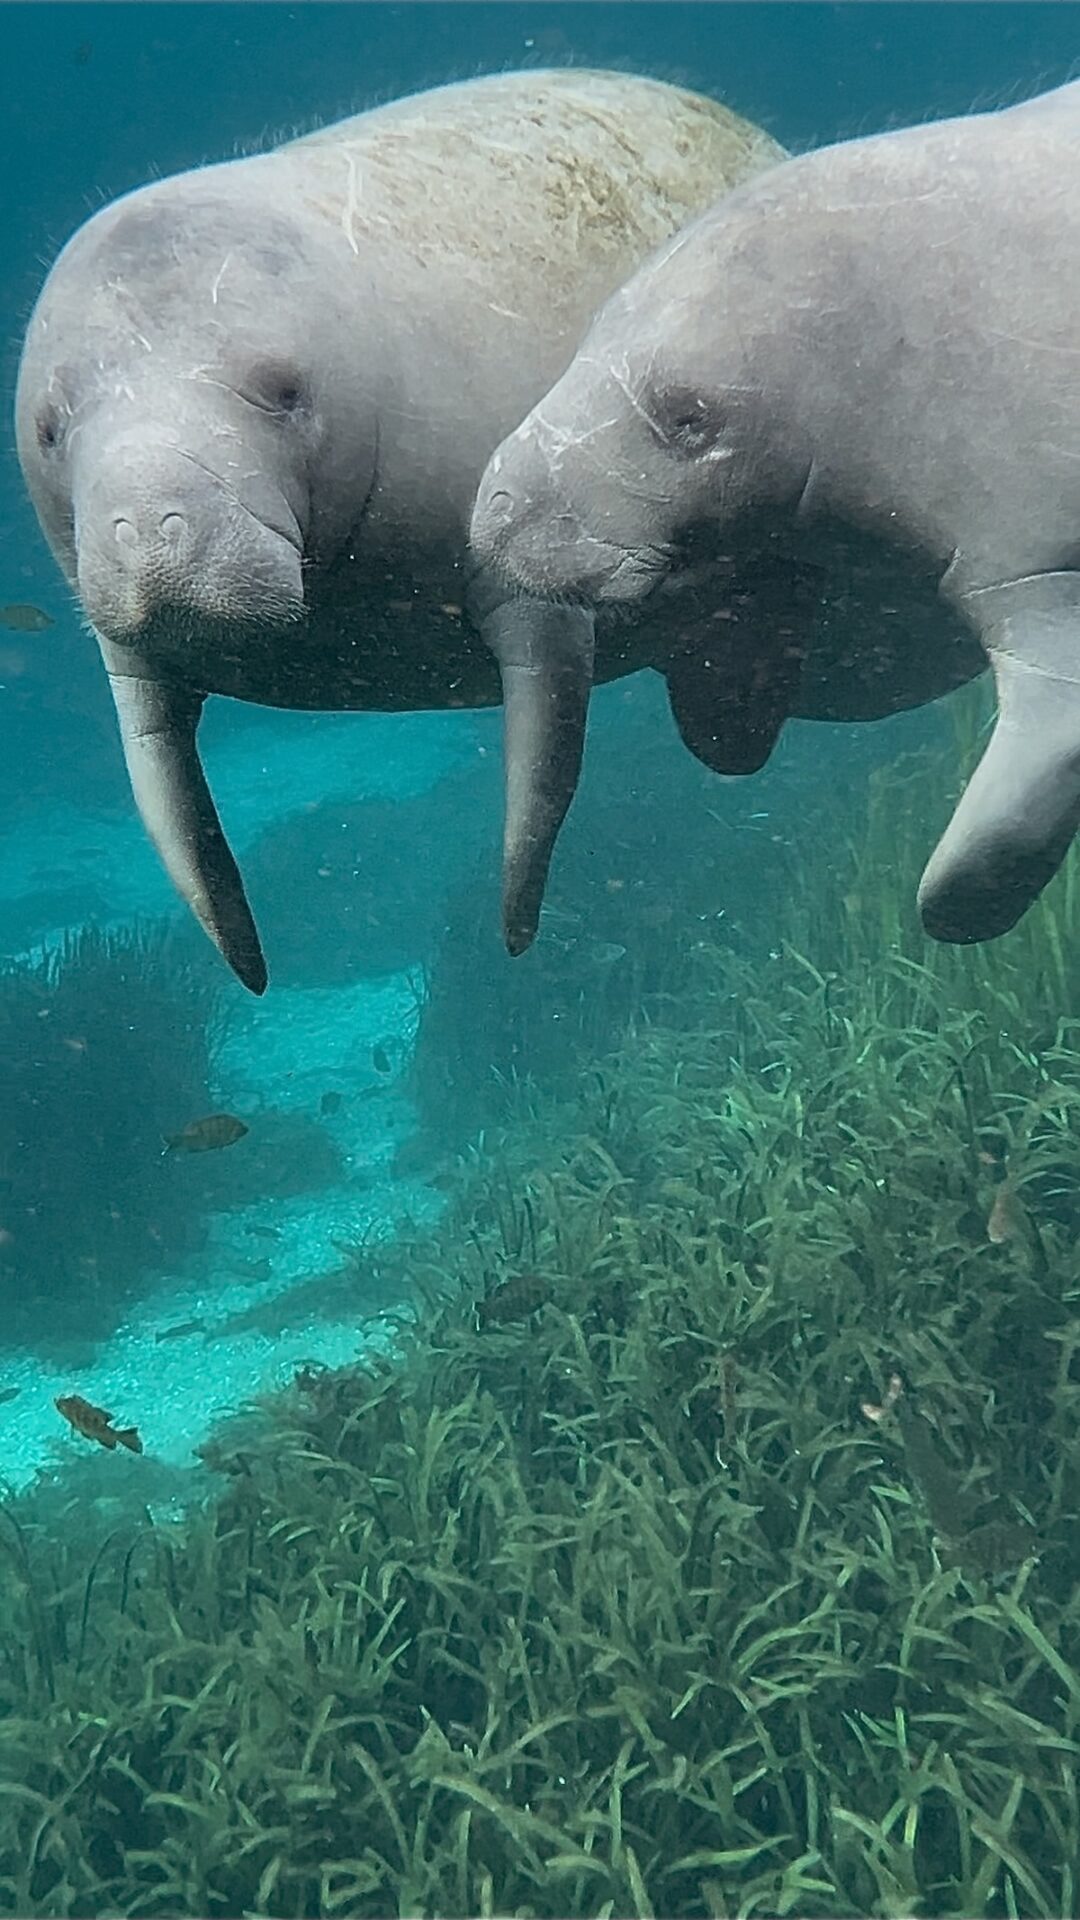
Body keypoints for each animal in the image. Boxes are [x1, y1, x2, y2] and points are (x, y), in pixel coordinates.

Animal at [16, 63, 780, 990]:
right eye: (50, 428)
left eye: (284, 391)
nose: (154, 534)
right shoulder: (128, 662)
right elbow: (167, 797)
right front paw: (248, 966)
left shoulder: (532, 579)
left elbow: (545, 761)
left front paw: (514, 930)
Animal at [472, 82, 1080, 952]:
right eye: (592, 329)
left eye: (688, 418)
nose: (492, 505)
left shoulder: (1035, 565)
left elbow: (1018, 795)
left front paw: (953, 918)